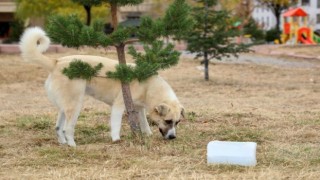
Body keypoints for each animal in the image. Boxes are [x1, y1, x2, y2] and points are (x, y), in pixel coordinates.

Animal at [19, 27, 185, 147]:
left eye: (177, 122)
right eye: (168, 121)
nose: (173, 137)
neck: (149, 85)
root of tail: (56, 62)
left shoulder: (139, 108)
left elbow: (144, 123)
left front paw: (148, 135)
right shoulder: (119, 105)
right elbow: (116, 125)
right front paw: (116, 140)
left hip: (64, 106)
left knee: (58, 128)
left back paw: (63, 143)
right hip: (75, 104)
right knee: (67, 128)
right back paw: (73, 146)